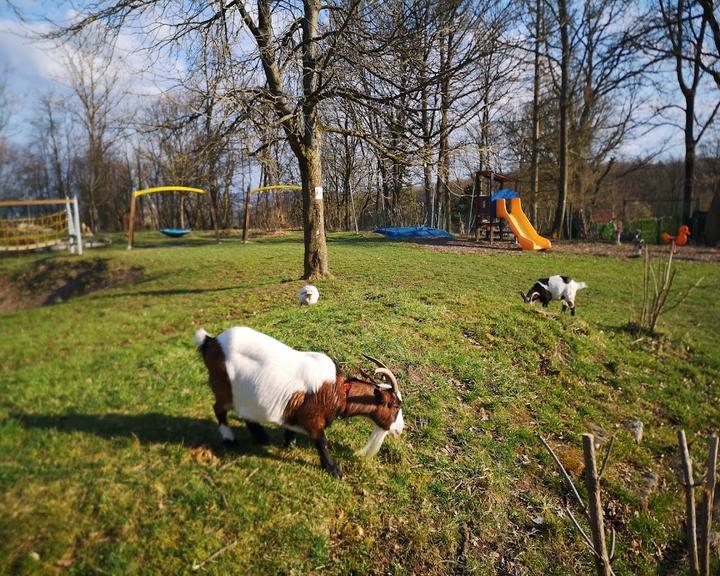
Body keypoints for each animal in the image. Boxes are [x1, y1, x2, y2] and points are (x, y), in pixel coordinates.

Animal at [194, 326, 402, 480]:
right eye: (395, 406)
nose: (400, 429)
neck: (339, 391)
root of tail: (210, 341)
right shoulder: (314, 419)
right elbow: (322, 442)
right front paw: (334, 471)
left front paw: (290, 442)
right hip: (224, 388)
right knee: (218, 409)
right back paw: (230, 440)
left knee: (244, 413)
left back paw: (262, 437)